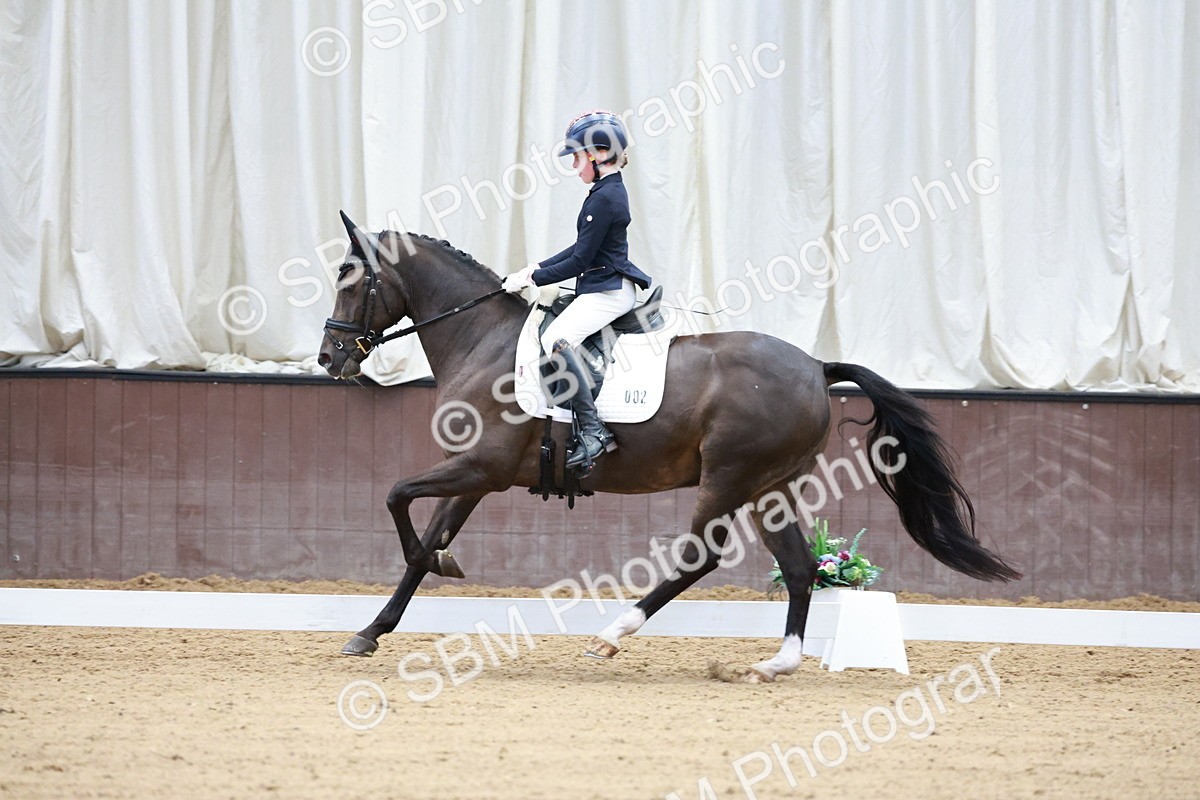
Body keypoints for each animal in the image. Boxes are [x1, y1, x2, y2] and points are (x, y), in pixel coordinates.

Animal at [317, 213, 1020, 682]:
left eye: (349, 280)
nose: (329, 359)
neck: (481, 339)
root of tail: (817, 366)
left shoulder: (480, 467)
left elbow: (397, 499)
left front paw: (435, 567)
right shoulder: (476, 476)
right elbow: (422, 536)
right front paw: (371, 631)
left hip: (729, 478)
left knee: (698, 557)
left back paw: (611, 635)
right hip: (771, 488)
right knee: (797, 568)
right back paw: (778, 663)